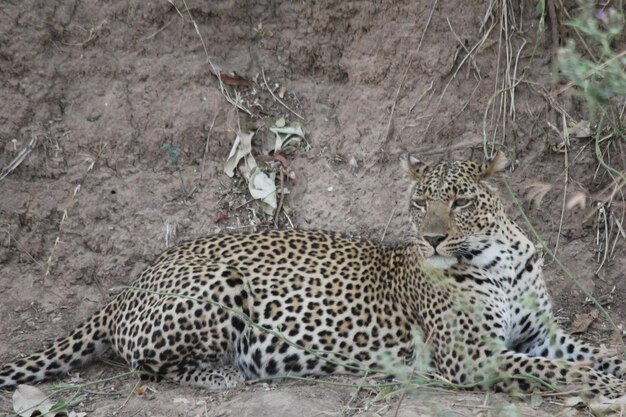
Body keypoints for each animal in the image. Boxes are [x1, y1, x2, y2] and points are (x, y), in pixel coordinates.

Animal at [1, 153, 624, 400]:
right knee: (148, 366)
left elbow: (595, 353)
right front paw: (602, 386)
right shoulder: (471, 357)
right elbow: (553, 371)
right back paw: (225, 375)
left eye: (461, 201)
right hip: (218, 286)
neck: (500, 258)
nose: (431, 239)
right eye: (420, 202)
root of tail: (131, 283)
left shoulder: (543, 334)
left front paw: (611, 372)